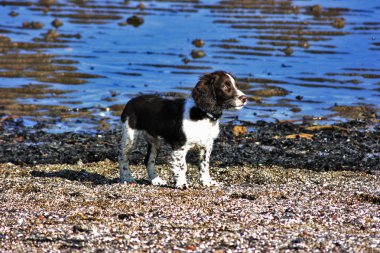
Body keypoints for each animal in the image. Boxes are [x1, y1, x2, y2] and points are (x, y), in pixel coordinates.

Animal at [120, 70, 248, 188]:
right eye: (225, 86)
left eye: (235, 85)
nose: (244, 98)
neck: (202, 114)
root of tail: (131, 101)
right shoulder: (179, 146)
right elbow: (182, 166)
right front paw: (182, 184)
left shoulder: (207, 145)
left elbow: (204, 164)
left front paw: (207, 182)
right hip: (129, 137)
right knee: (123, 157)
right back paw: (127, 178)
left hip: (155, 141)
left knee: (148, 160)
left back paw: (156, 180)